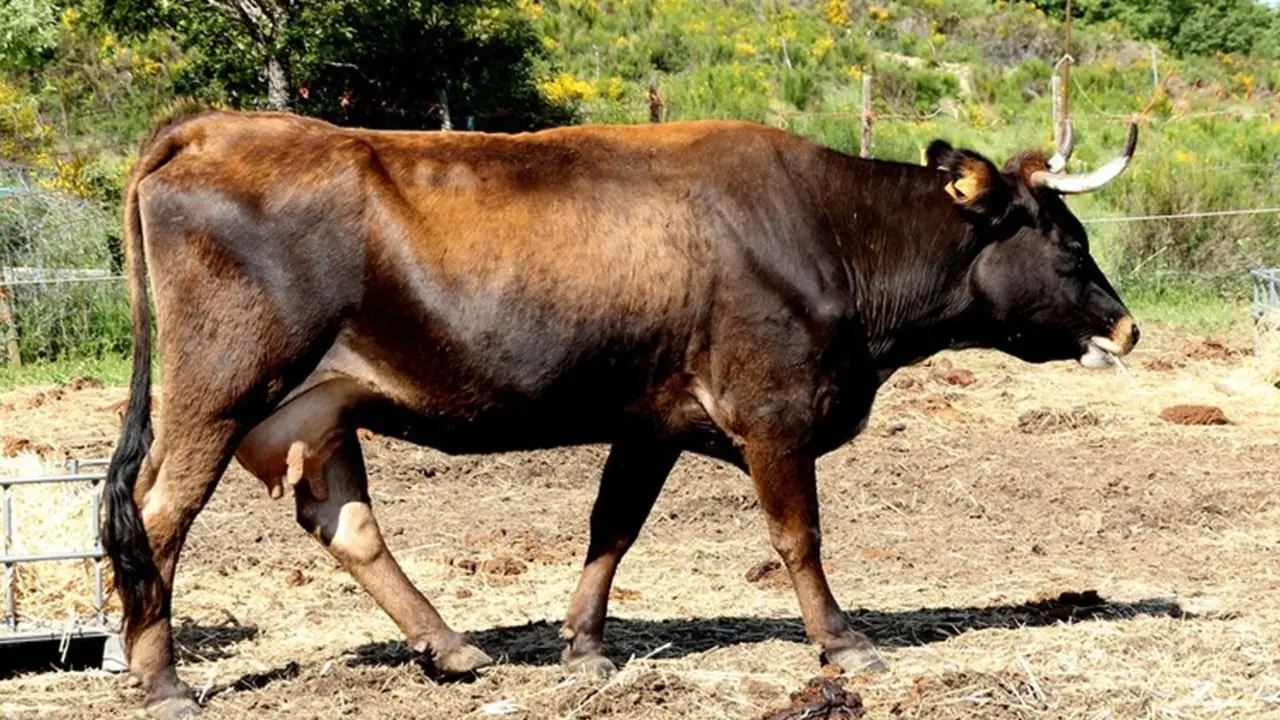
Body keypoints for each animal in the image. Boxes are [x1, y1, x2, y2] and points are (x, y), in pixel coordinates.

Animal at [102, 110, 1140, 718]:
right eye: (1066, 238)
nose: (1127, 327)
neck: (830, 232)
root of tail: (213, 128)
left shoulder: (650, 421)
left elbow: (613, 529)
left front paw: (585, 649)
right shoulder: (775, 413)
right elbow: (797, 537)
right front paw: (844, 644)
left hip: (318, 405)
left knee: (344, 522)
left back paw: (451, 649)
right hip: (220, 389)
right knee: (157, 517)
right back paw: (160, 678)